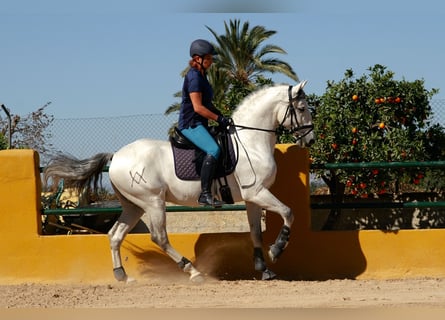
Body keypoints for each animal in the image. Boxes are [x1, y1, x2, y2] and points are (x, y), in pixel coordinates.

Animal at [42, 80, 312, 282]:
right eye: (301, 108)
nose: (309, 139)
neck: (251, 143)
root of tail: (116, 155)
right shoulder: (256, 192)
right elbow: (288, 212)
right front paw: (277, 249)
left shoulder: (251, 197)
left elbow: (256, 232)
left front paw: (264, 268)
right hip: (153, 202)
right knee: (159, 237)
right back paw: (192, 271)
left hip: (134, 205)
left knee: (115, 235)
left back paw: (122, 275)